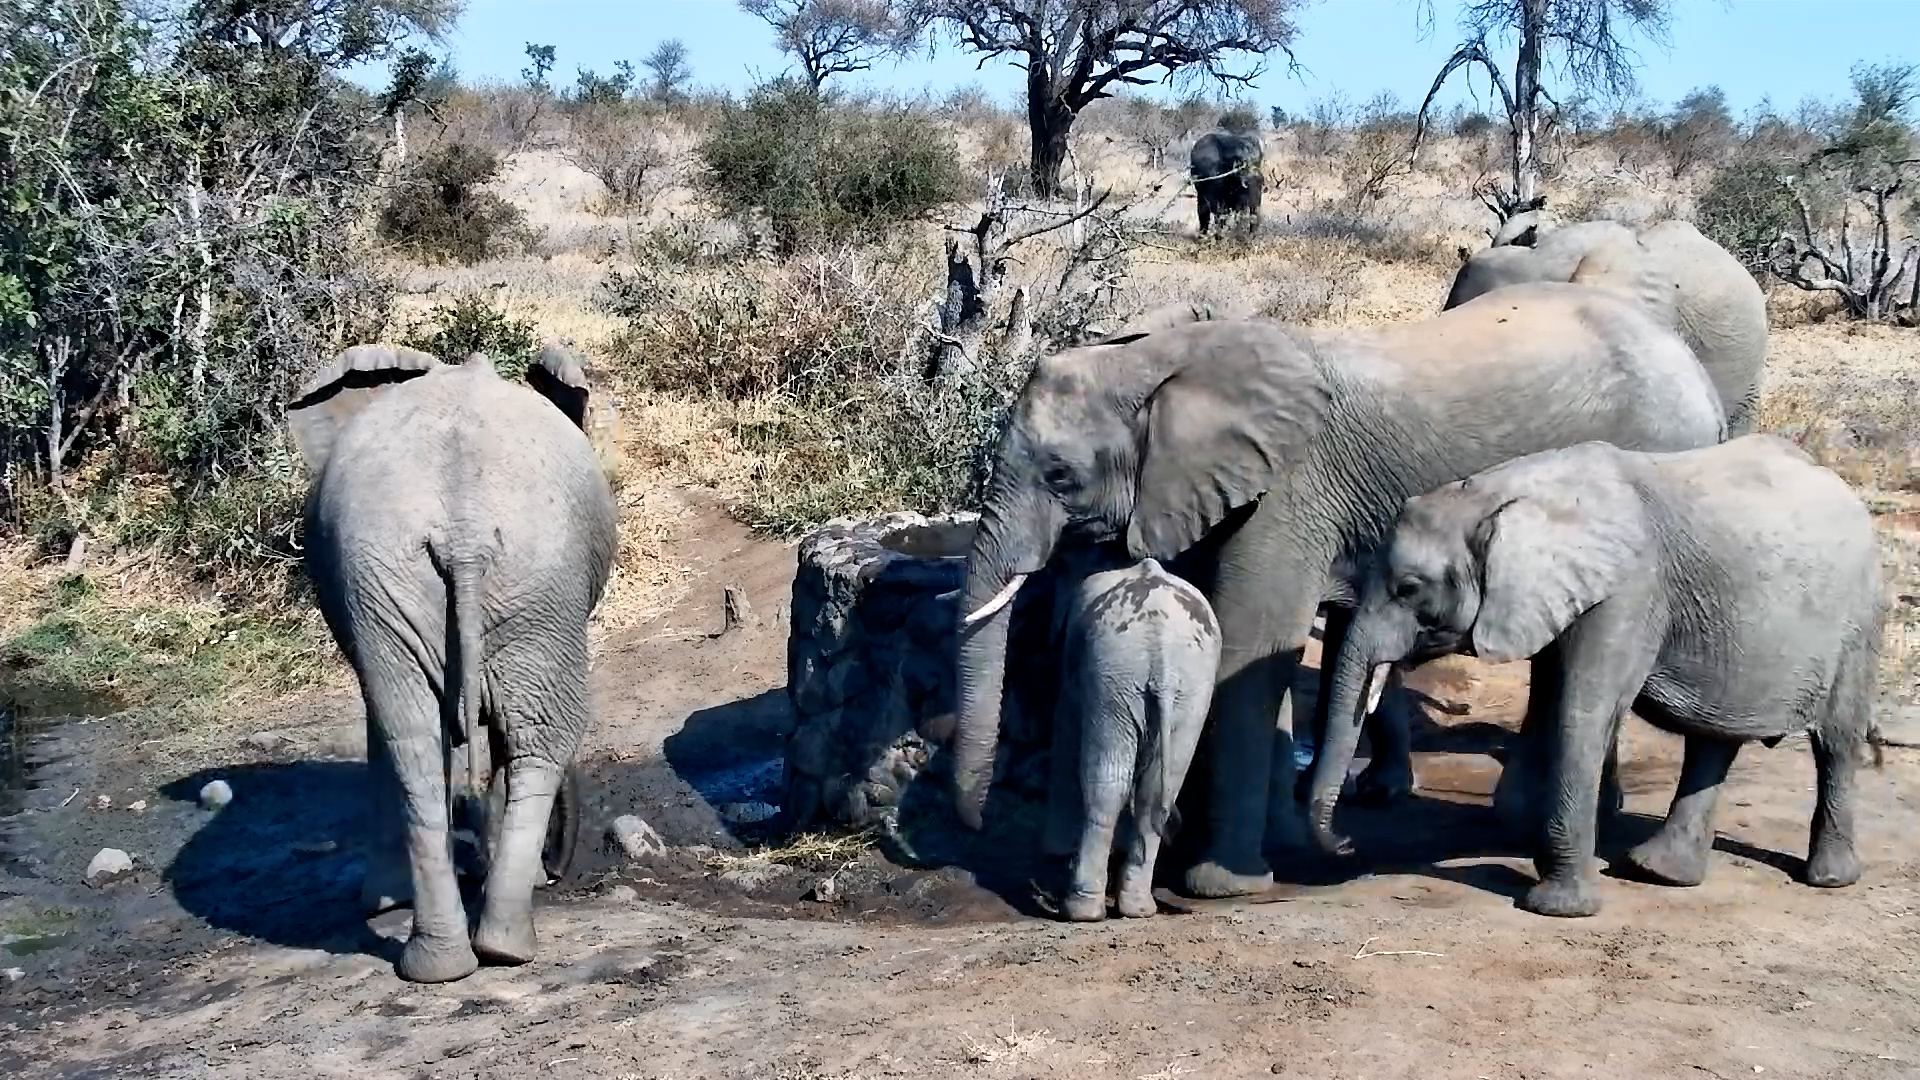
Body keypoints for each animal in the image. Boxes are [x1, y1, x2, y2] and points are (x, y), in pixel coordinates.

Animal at [288, 344, 617, 983]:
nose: (560, 870)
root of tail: (464, 534)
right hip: (522, 577)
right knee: (531, 736)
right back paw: (499, 947)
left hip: (442, 575)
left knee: (417, 739)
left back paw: (450, 962)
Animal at [1034, 550, 1221, 921]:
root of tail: (1162, 654)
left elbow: (1065, 734)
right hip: (1187, 688)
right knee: (1157, 789)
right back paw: (1137, 908)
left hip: (1114, 677)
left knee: (1106, 783)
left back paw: (1081, 910)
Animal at [1309, 435, 1880, 917]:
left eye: (1408, 588)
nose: (1348, 842)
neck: (1498, 494)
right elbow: (1551, 697)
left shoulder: (1628, 591)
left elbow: (1581, 710)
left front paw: (1557, 906)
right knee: (1713, 739)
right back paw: (1658, 873)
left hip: (1859, 621)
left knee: (1836, 741)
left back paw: (1827, 878)